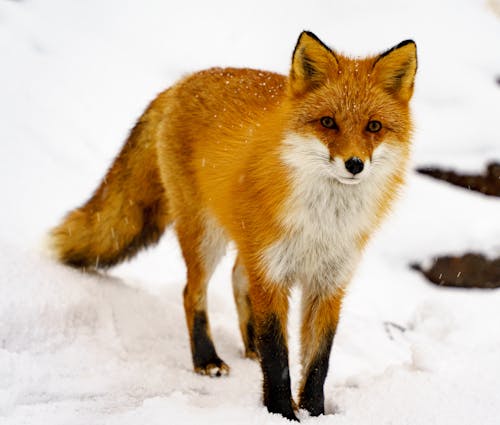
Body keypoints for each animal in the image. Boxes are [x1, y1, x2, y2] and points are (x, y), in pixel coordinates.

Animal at [51, 31, 418, 420]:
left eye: (374, 126)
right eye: (328, 122)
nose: (354, 164)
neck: (322, 223)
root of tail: (180, 83)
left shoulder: (328, 283)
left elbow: (319, 361)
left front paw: (315, 413)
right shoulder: (272, 275)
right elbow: (278, 357)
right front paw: (281, 413)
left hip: (249, 243)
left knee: (236, 278)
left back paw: (248, 344)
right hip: (206, 236)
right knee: (192, 292)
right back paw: (206, 359)